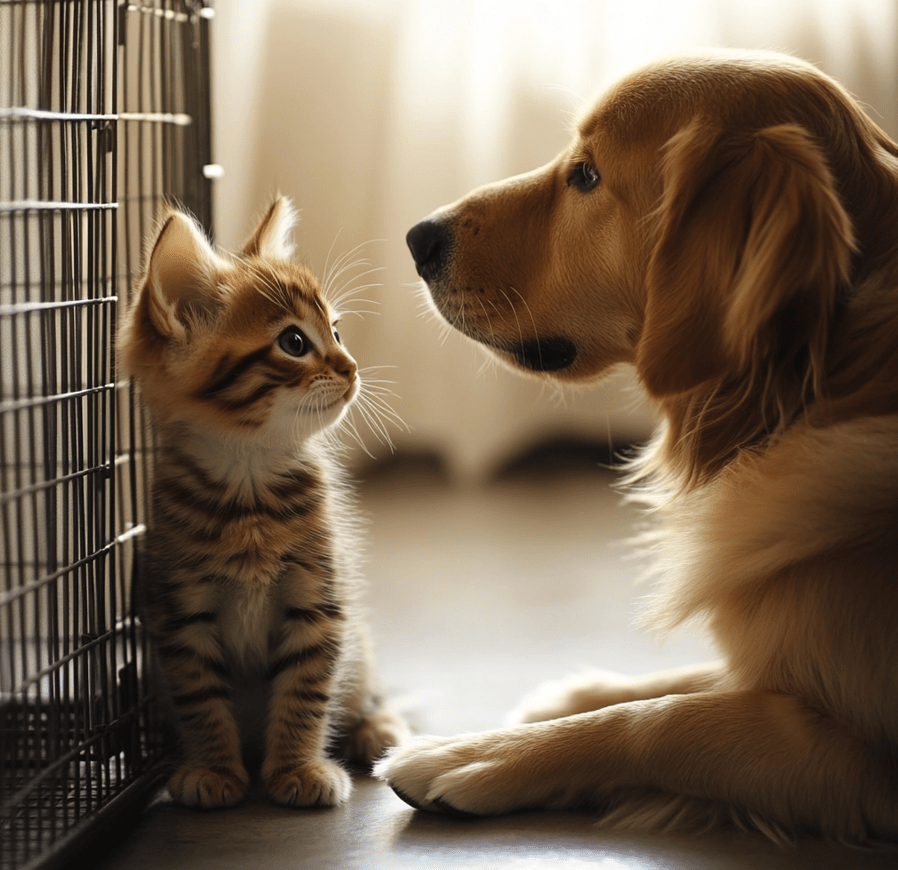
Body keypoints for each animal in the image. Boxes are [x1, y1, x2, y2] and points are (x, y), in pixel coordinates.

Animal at [117, 198, 408, 812]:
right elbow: (200, 698)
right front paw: (214, 769)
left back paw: (376, 727)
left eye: (337, 331)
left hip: (359, 646)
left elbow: (306, 690)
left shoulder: (319, 602)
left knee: (366, 689)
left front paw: (298, 768)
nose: (352, 367)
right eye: (294, 343)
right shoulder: (181, 615)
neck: (249, 483)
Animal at [374, 52, 896, 844]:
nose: (417, 237)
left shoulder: (858, 756)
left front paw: (474, 753)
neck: (821, 382)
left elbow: (667, 719)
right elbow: (684, 682)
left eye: (587, 176)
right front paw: (575, 692)